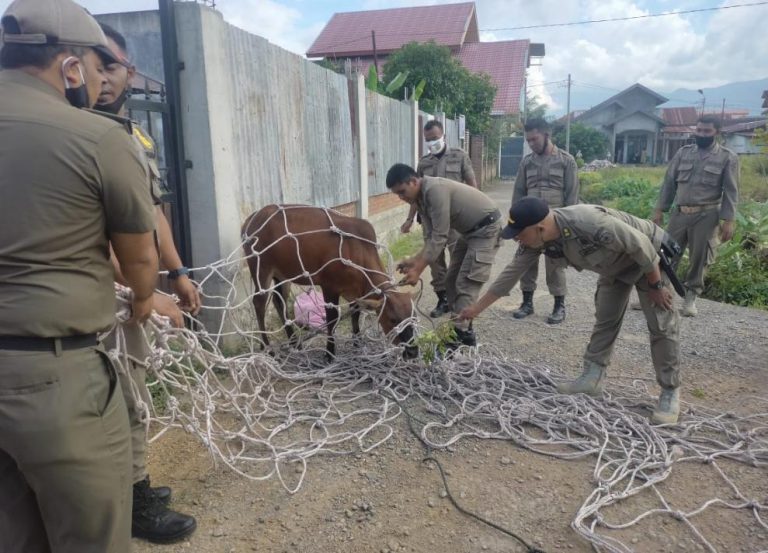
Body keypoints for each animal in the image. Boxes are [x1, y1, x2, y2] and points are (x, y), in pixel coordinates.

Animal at [243, 205, 416, 360]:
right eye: (393, 319)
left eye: (413, 316)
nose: (412, 351)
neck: (358, 250)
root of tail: (251, 219)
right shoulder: (329, 286)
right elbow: (332, 319)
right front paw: (329, 353)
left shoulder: (355, 292)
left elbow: (355, 313)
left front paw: (357, 342)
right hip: (261, 269)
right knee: (259, 303)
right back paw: (267, 347)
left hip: (283, 275)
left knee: (279, 301)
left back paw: (294, 342)